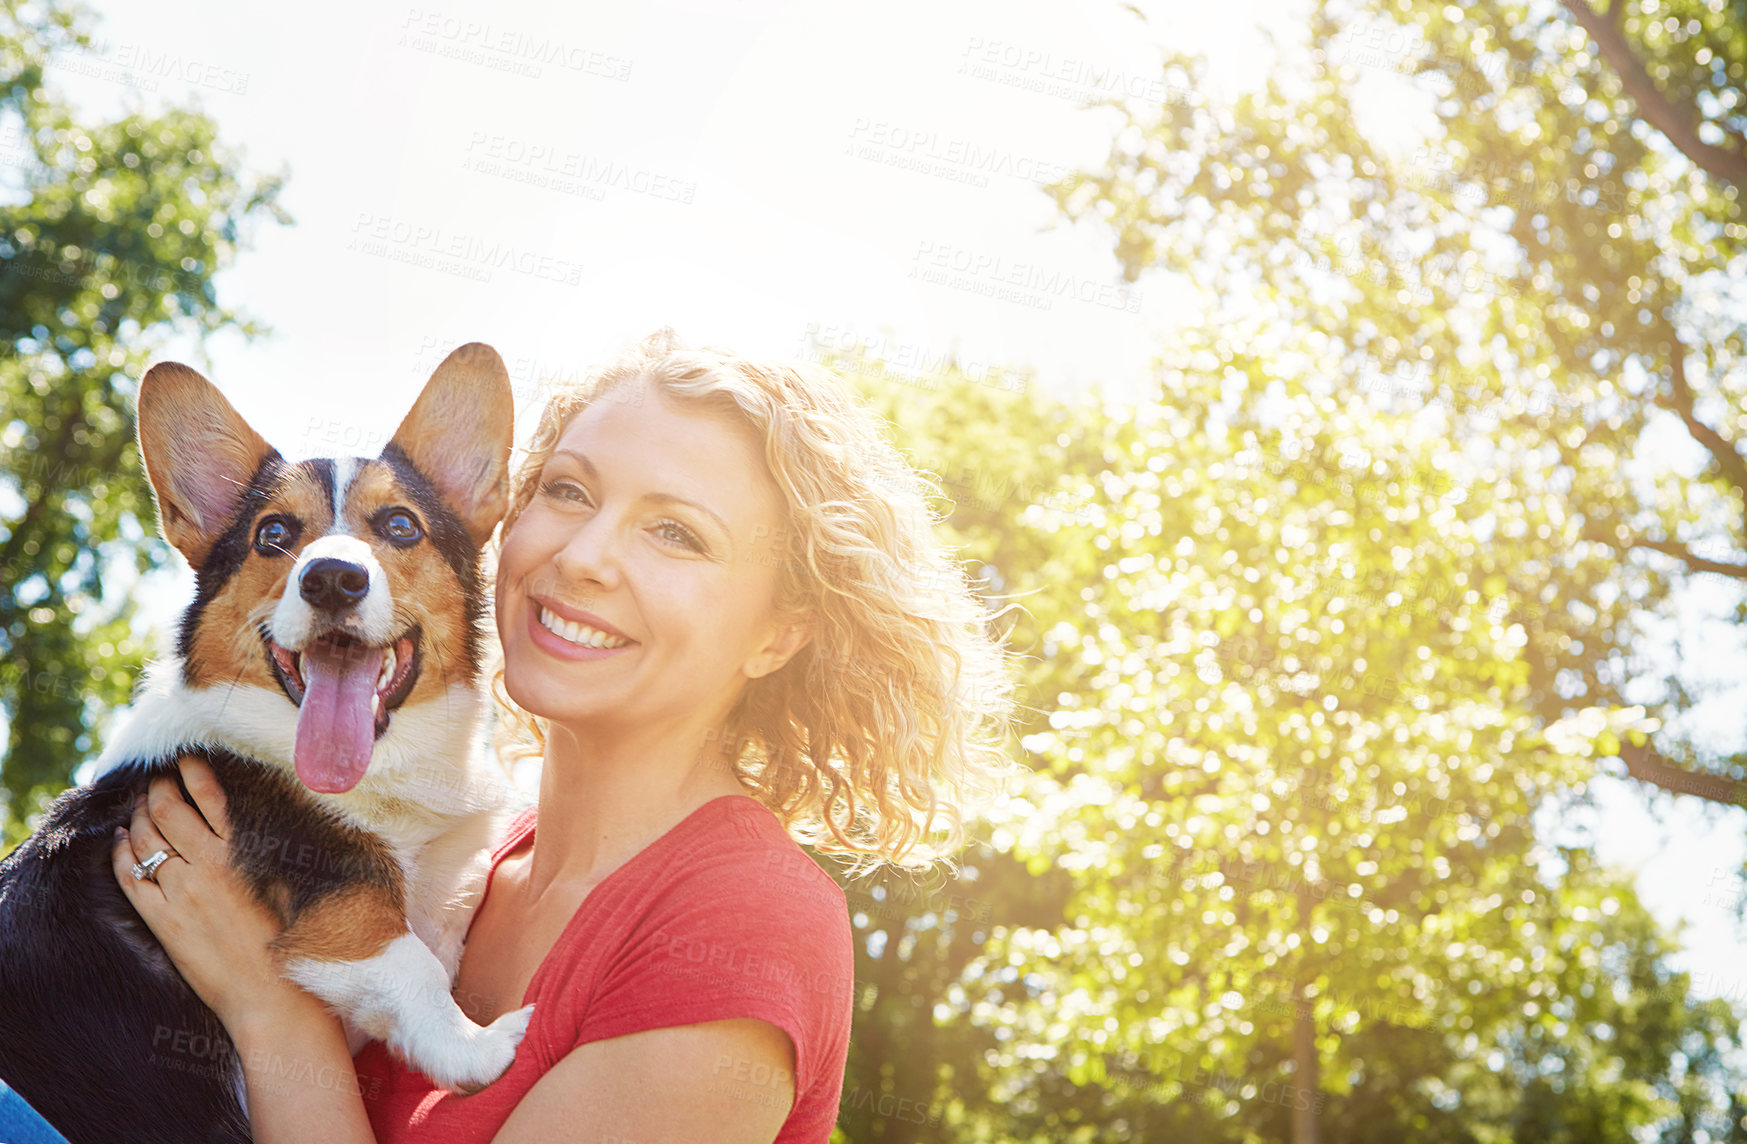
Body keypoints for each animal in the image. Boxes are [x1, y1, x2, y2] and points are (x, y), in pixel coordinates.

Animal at [0, 347, 531, 1144]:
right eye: (273, 535)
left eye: (401, 526)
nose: (333, 578)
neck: (382, 772)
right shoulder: (333, 889)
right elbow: (409, 961)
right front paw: (484, 1047)